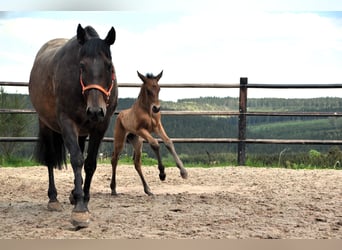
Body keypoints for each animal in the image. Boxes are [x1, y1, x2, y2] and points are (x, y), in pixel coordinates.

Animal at [28, 23, 119, 229]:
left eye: (109, 66)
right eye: (82, 66)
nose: (95, 111)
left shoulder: (100, 127)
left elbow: (90, 163)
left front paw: (84, 198)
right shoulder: (67, 122)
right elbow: (77, 160)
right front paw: (80, 210)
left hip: (83, 131)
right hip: (46, 124)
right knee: (50, 159)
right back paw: (53, 199)